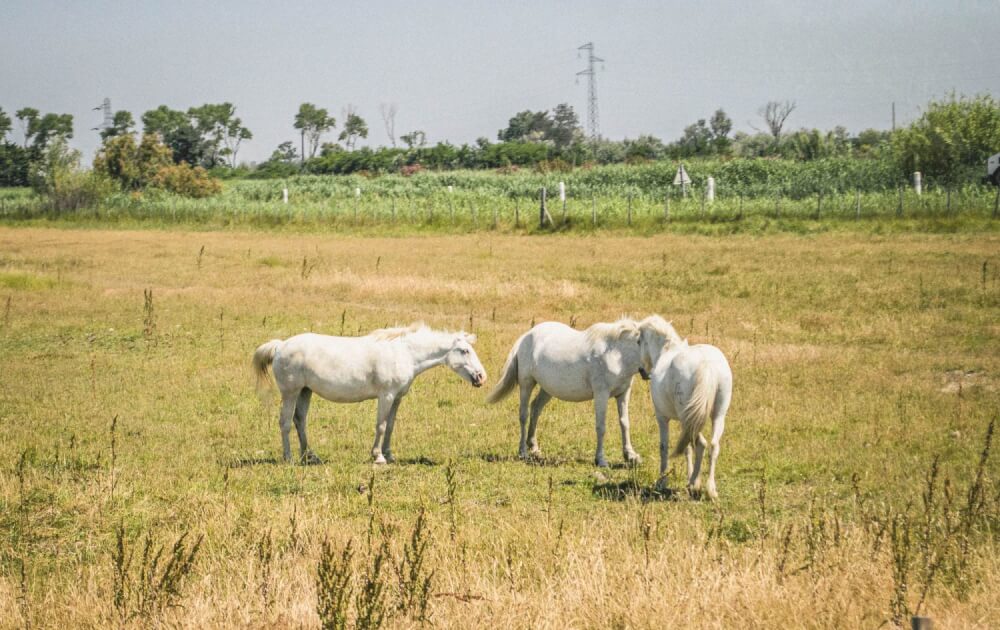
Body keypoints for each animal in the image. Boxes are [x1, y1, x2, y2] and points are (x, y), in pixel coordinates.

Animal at [250, 326, 484, 464]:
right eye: (465, 351)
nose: (481, 376)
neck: (404, 353)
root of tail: (280, 346)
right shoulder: (386, 396)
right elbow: (380, 425)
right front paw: (378, 457)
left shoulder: (397, 398)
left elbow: (390, 426)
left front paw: (389, 454)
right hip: (291, 393)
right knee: (285, 422)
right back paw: (288, 457)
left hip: (305, 392)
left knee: (300, 420)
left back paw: (309, 455)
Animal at [486, 320, 648, 470]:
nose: (647, 374)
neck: (615, 354)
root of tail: (526, 336)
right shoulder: (601, 394)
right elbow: (601, 426)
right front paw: (601, 460)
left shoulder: (623, 393)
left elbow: (624, 423)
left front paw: (631, 456)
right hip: (527, 384)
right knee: (524, 415)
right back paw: (523, 452)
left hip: (548, 389)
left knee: (536, 409)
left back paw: (534, 447)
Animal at [640, 318, 736, 502]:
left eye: (638, 341)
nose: (642, 371)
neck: (666, 351)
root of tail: (706, 363)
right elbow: (687, 449)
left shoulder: (662, 418)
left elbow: (664, 447)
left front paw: (662, 481)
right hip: (717, 415)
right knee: (713, 445)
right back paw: (710, 489)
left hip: (689, 418)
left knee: (701, 444)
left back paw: (694, 484)